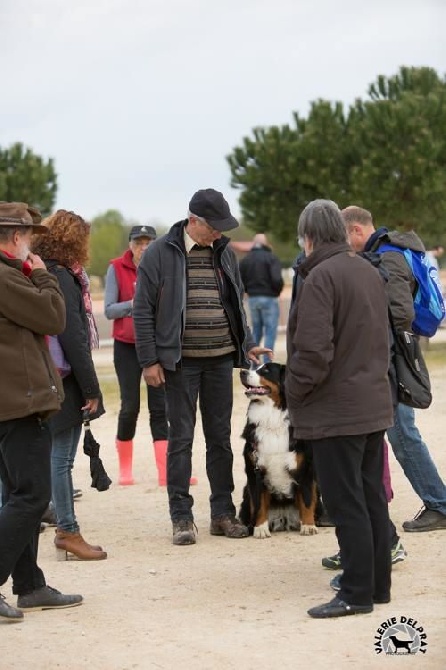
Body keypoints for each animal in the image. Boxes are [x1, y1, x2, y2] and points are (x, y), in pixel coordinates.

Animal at [239, 362, 318, 540]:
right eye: (254, 367)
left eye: (266, 370)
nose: (242, 372)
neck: (272, 420)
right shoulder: (254, 472)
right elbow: (259, 503)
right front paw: (260, 528)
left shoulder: (305, 470)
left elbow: (307, 500)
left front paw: (309, 526)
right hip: (246, 490)